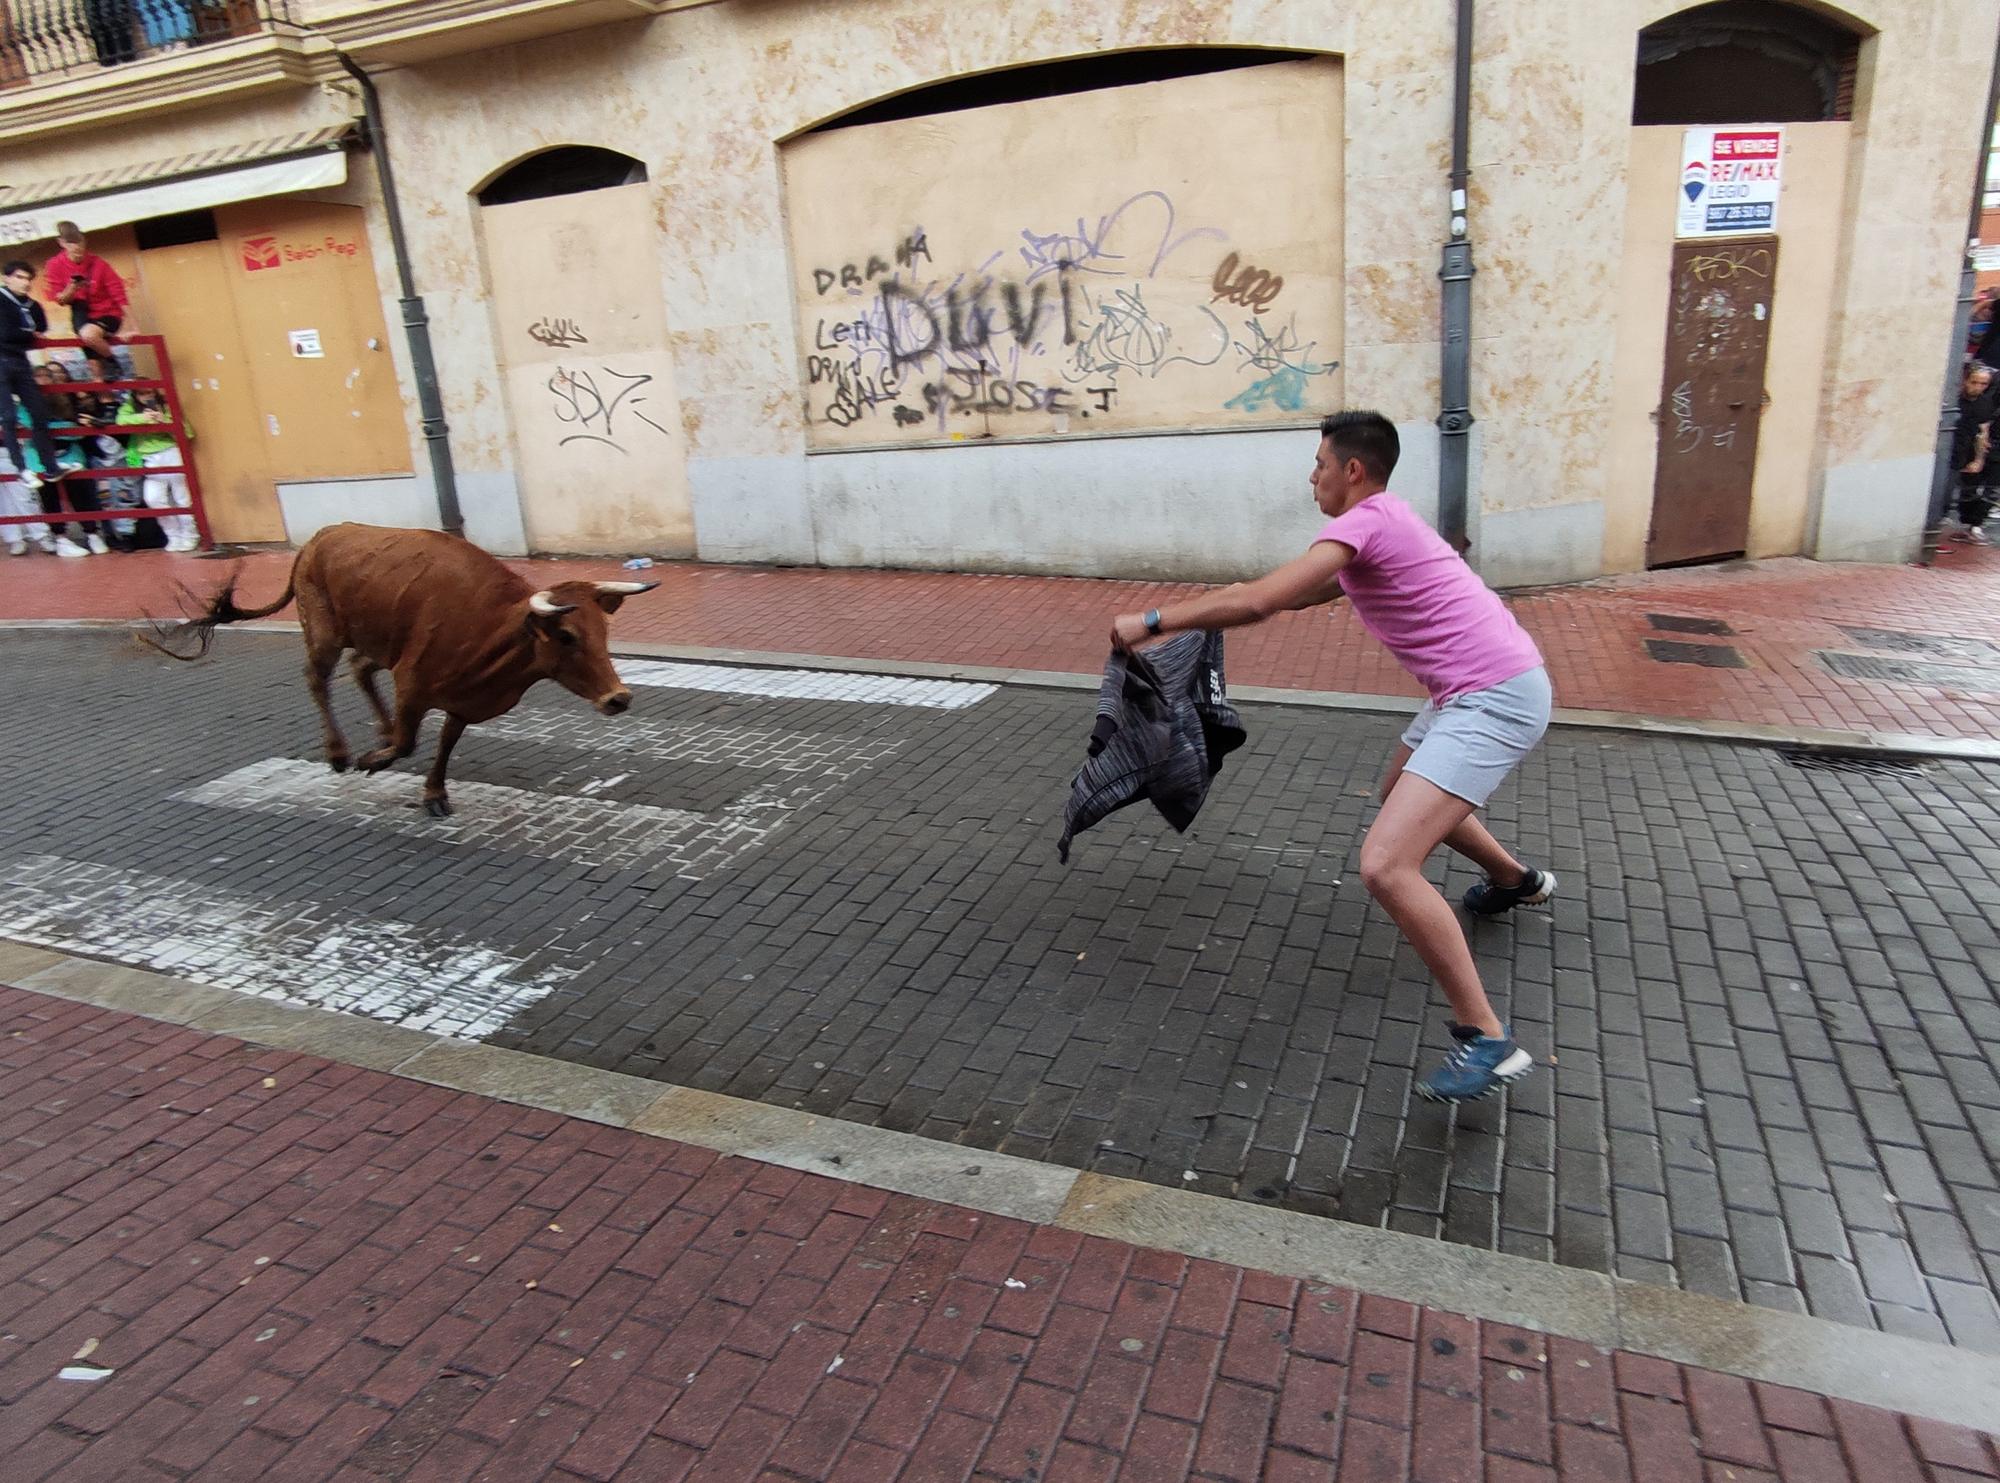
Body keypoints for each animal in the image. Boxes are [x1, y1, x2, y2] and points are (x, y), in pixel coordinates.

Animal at [154, 523, 664, 819]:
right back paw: (340, 752)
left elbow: (443, 744)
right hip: (323, 631)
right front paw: (372, 761)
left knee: (360, 669)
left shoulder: (461, 700)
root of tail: (320, 537)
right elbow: (408, 742)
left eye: (603, 630)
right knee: (317, 679)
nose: (619, 698)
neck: (490, 632)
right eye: (567, 637)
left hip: (379, 641)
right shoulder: (412, 684)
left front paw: (433, 793)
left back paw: (374, 730)